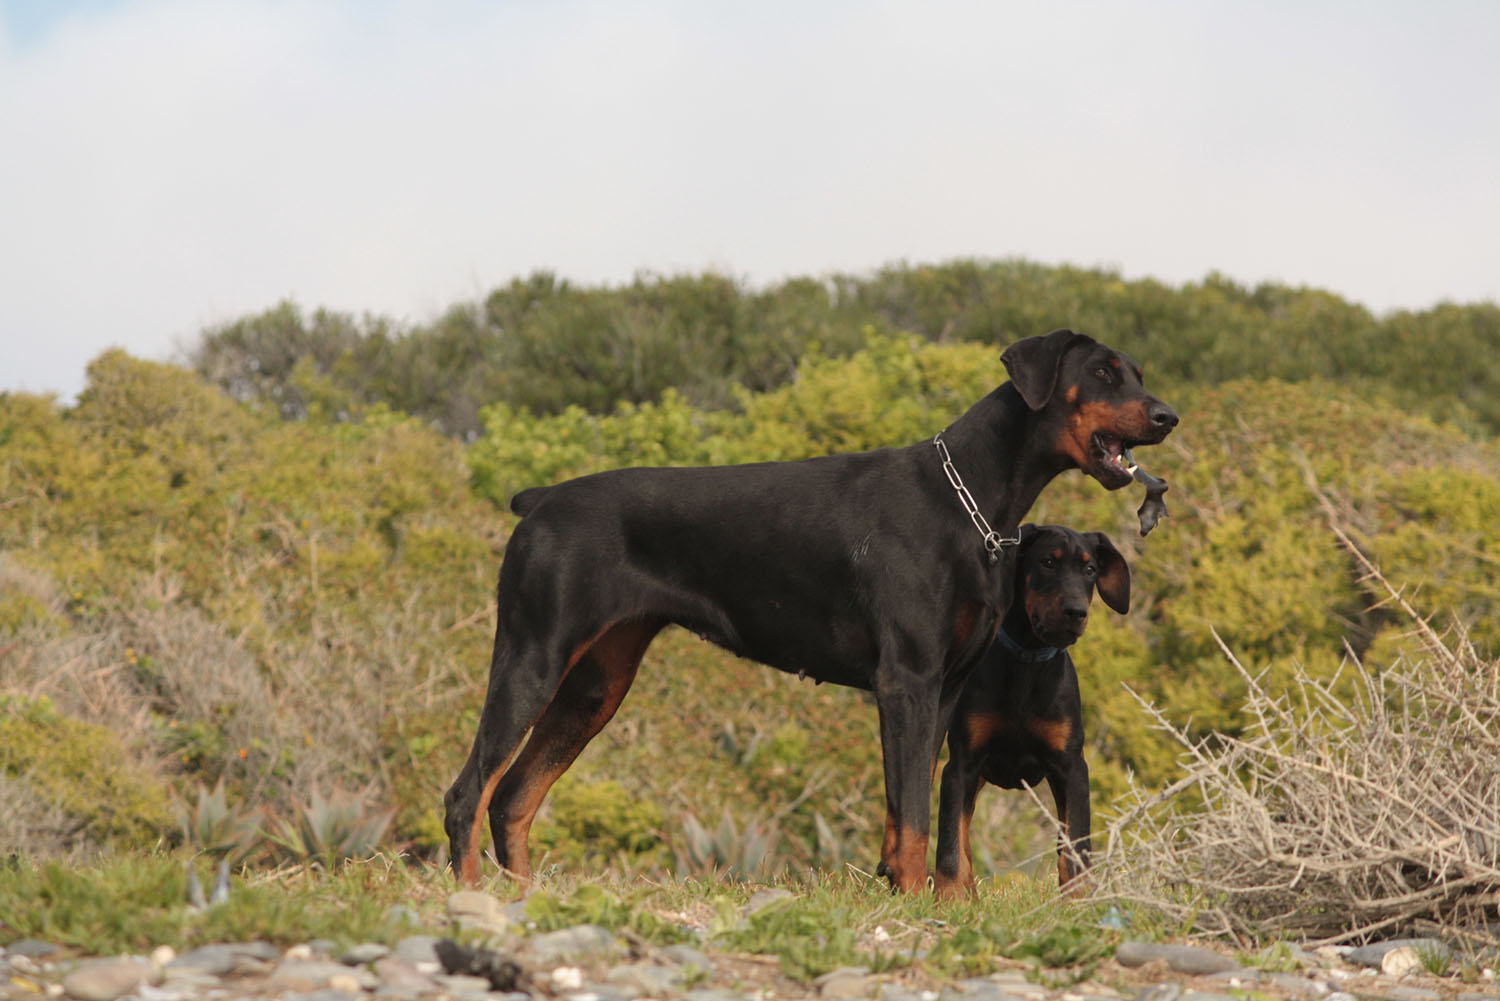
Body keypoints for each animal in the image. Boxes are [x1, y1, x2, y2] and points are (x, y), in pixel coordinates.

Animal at [443, 328, 1177, 890]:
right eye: (1103, 373)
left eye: (1140, 373)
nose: (1168, 416)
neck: (969, 497)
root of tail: (540, 500)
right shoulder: (906, 681)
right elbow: (914, 816)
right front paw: (915, 899)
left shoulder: (944, 691)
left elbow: (910, 810)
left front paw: (916, 895)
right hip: (532, 658)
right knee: (468, 793)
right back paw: (474, 895)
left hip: (596, 684)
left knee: (512, 798)